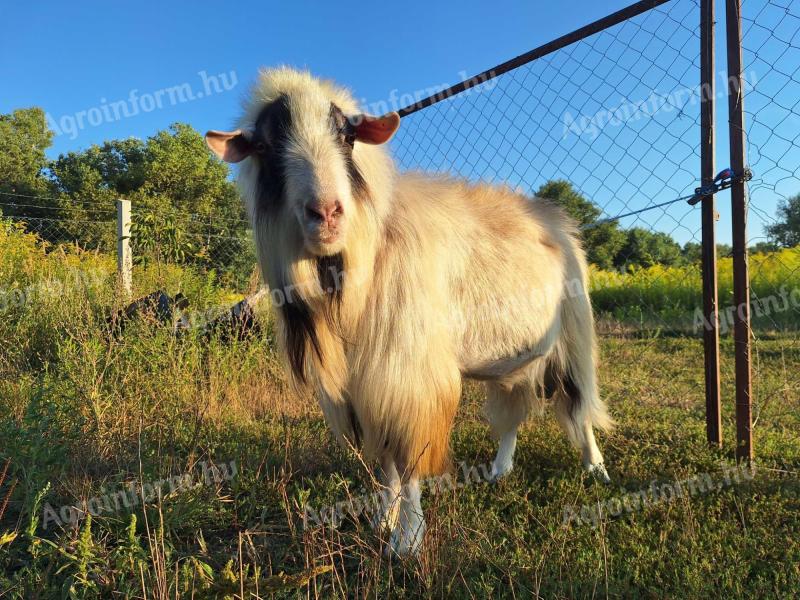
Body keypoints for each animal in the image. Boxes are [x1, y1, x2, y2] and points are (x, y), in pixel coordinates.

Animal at [206, 68, 612, 556]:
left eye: (347, 136)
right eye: (266, 146)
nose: (326, 212)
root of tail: (557, 222)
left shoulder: (408, 375)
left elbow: (408, 458)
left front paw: (407, 540)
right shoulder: (364, 382)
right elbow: (386, 463)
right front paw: (382, 519)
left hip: (574, 334)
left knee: (580, 404)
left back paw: (596, 469)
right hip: (515, 358)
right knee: (513, 411)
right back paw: (500, 469)